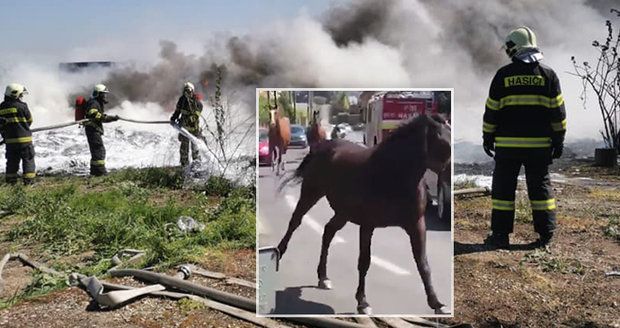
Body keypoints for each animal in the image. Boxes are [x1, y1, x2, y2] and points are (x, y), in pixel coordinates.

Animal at [278, 114, 448, 314]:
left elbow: (423, 264)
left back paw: (323, 277)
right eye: (441, 138)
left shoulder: (417, 225)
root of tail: (323, 146)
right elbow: (364, 262)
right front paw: (363, 302)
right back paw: (279, 254)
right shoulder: (368, 225)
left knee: (328, 231)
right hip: (311, 193)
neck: (392, 174)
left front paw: (437, 303)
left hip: (343, 213)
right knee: (295, 221)